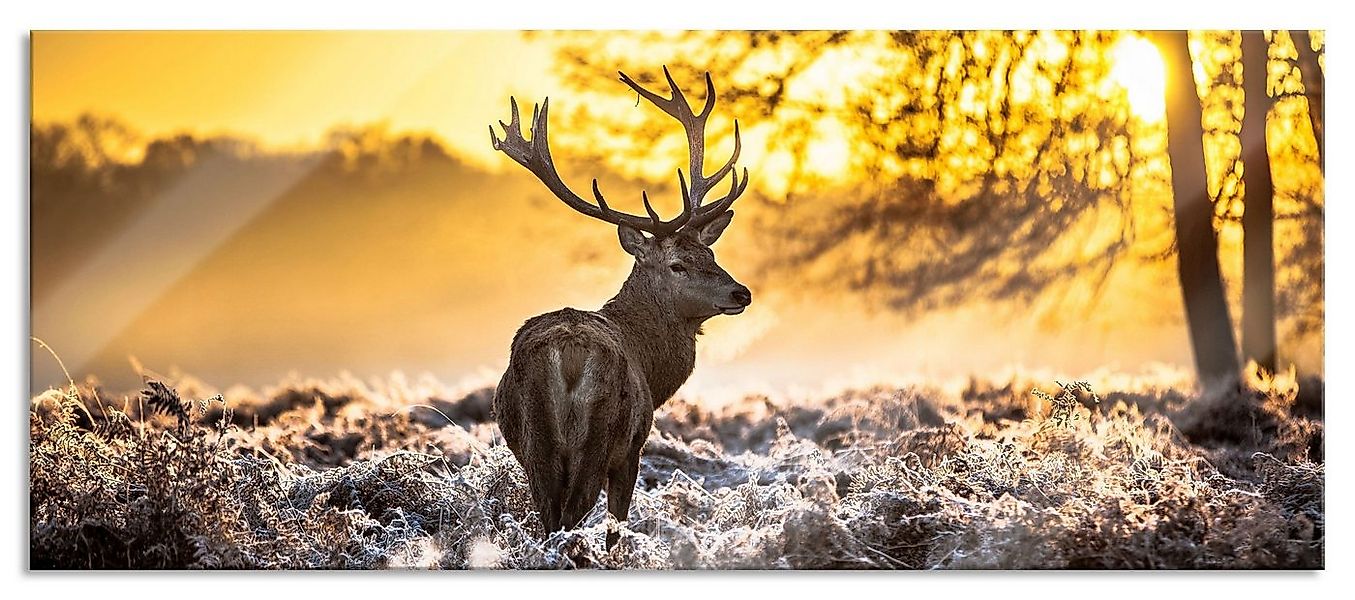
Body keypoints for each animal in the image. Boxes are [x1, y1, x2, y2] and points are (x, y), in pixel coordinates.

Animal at [488, 67, 751, 547]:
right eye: (678, 264)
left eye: (711, 255)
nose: (742, 293)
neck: (651, 365)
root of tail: (568, 353)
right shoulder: (633, 446)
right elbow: (618, 523)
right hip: (601, 434)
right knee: (574, 513)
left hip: (536, 441)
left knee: (549, 516)